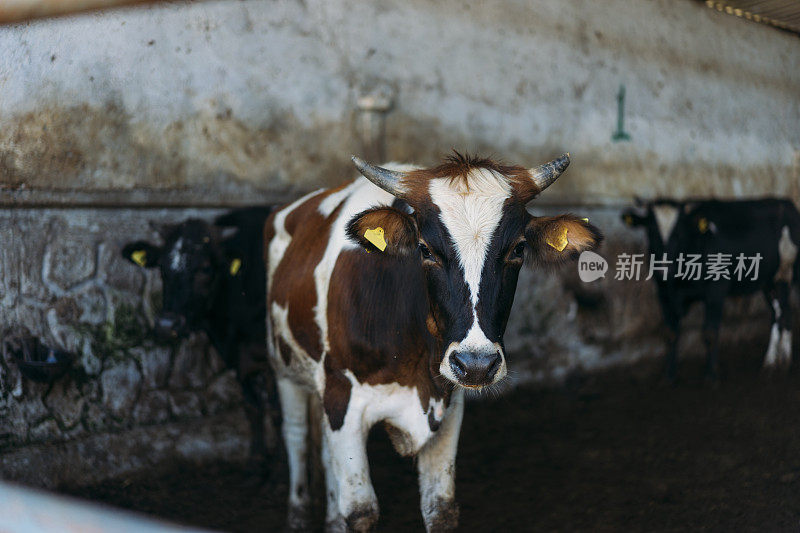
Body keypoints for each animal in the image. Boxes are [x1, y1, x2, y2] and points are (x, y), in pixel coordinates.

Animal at [122, 206, 278, 468]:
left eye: (205, 268)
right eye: (162, 267)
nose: (167, 325)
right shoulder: (236, 358)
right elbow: (253, 407)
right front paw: (258, 458)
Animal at [266, 152, 604, 528]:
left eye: (518, 249)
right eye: (425, 250)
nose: (476, 364)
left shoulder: (449, 404)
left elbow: (439, 508)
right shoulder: (343, 399)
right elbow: (361, 511)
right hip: (284, 368)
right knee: (297, 436)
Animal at [624, 197, 800, 380]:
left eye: (678, 233)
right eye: (651, 231)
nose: (663, 269)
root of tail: (787, 203)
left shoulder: (716, 291)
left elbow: (710, 333)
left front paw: (711, 376)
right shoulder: (663, 293)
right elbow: (670, 333)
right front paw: (669, 376)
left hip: (784, 275)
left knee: (786, 314)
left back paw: (785, 362)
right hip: (768, 282)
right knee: (776, 315)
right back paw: (770, 363)